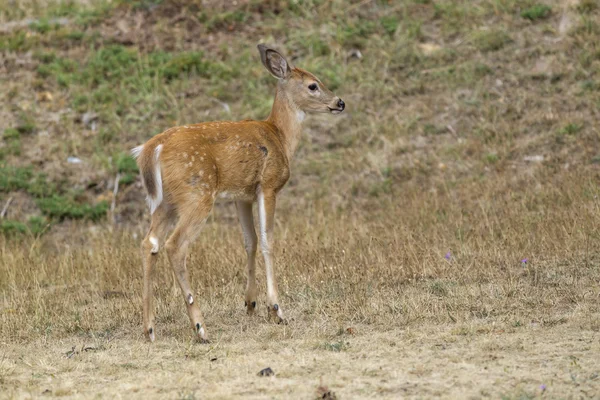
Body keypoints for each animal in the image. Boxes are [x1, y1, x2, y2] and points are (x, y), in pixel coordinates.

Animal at [133, 44, 344, 344]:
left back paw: (149, 328)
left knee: (149, 243)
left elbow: (250, 241)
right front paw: (276, 310)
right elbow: (268, 241)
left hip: (166, 201)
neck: (280, 137)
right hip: (197, 192)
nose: (340, 102)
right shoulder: (268, 184)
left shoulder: (241, 195)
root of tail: (152, 149)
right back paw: (200, 328)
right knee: (175, 245)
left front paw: (251, 304)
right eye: (313, 85)